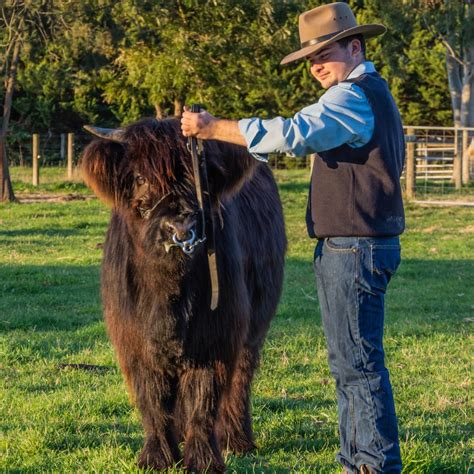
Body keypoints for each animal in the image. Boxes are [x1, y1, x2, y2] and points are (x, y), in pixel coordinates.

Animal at [81, 116, 286, 472]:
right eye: (140, 177)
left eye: (199, 180)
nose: (180, 230)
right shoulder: (134, 344)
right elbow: (153, 401)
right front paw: (157, 457)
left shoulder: (215, 340)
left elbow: (204, 401)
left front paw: (203, 459)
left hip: (254, 328)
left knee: (240, 381)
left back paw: (237, 440)